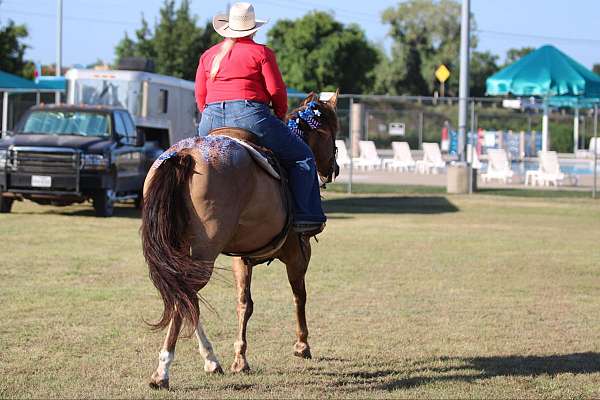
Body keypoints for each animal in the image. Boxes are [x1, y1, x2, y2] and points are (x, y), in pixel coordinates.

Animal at [139, 91, 338, 388]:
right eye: (333, 132)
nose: (333, 169)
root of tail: (186, 155)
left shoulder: (242, 260)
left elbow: (245, 304)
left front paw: (239, 360)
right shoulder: (297, 255)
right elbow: (298, 295)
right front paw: (302, 345)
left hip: (181, 250)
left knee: (185, 298)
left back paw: (211, 361)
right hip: (204, 253)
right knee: (184, 299)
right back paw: (163, 370)